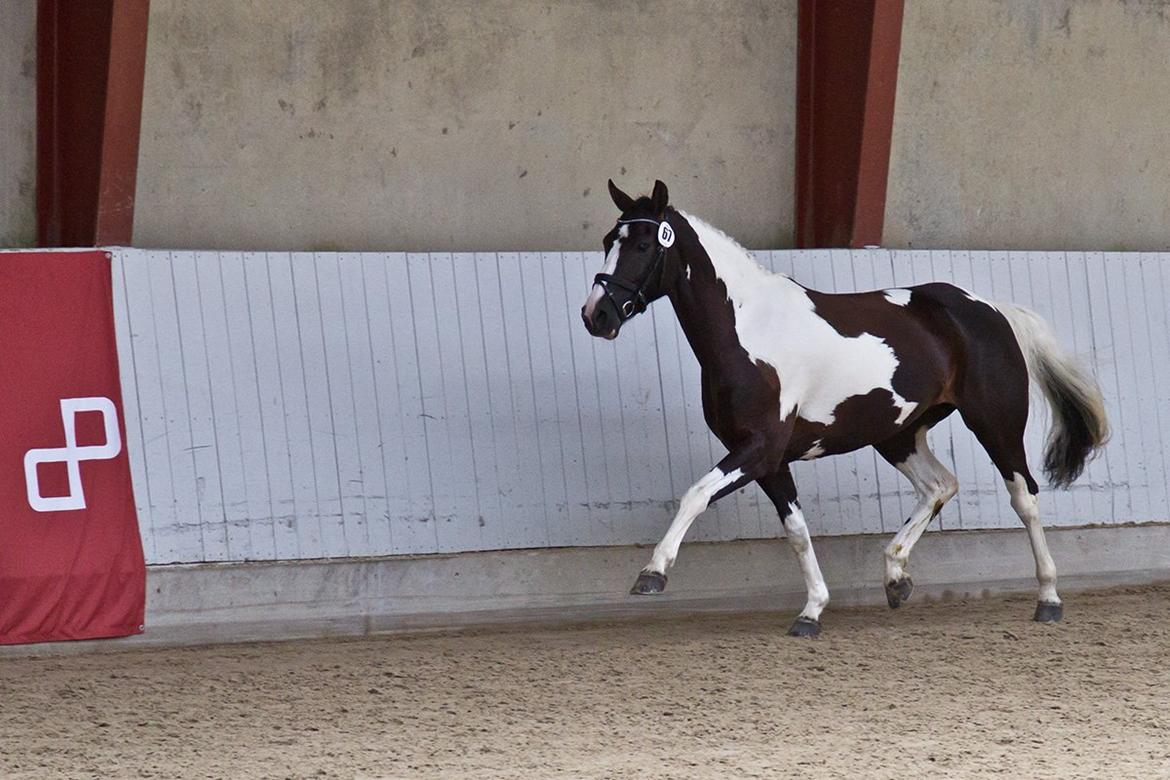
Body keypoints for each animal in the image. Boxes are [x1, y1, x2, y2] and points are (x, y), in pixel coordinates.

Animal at [580, 180, 1109, 637]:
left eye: (643, 245)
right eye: (608, 239)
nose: (596, 315)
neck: (747, 330)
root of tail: (990, 309)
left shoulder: (757, 449)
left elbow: (695, 494)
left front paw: (652, 573)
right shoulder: (770, 461)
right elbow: (796, 530)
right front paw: (811, 612)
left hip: (995, 424)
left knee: (1025, 497)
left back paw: (1049, 599)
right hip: (898, 434)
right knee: (940, 485)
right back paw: (896, 579)